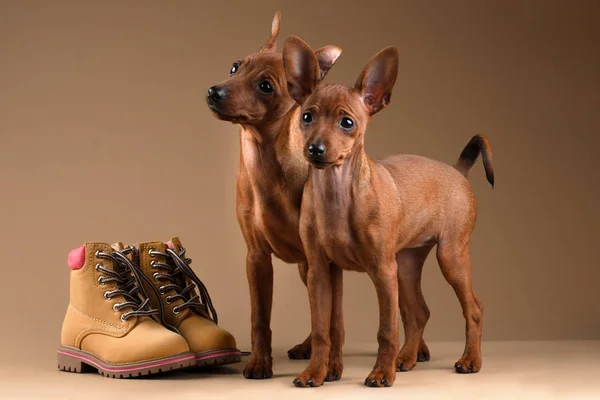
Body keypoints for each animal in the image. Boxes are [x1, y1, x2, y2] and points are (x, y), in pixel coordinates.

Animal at [206, 10, 346, 378]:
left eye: (266, 86)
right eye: (234, 67)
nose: (214, 91)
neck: (266, 164)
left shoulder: (325, 261)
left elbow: (332, 318)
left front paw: (330, 367)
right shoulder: (256, 258)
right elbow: (260, 316)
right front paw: (259, 362)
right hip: (303, 268)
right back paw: (307, 345)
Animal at [284, 37, 494, 388]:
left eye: (347, 123)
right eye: (307, 117)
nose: (315, 149)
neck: (337, 194)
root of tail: (456, 171)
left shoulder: (382, 271)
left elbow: (386, 329)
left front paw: (381, 373)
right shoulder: (321, 273)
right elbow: (325, 328)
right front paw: (318, 372)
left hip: (449, 257)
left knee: (474, 308)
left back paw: (469, 360)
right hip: (407, 265)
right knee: (419, 313)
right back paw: (406, 358)